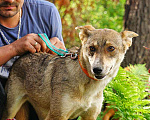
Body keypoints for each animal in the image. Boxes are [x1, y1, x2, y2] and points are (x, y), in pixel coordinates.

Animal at [2, 24, 138, 119]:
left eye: (111, 48)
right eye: (92, 48)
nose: (97, 69)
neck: (88, 88)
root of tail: (22, 57)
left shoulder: (90, 116)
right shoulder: (56, 116)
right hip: (11, 110)